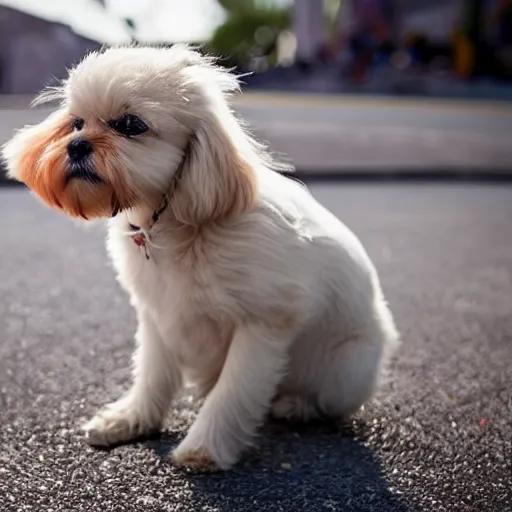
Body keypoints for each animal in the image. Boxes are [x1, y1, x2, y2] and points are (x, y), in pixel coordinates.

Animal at [1, 46, 400, 470]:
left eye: (130, 125)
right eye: (76, 123)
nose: (76, 145)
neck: (173, 227)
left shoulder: (264, 324)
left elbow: (234, 391)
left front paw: (204, 447)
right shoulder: (158, 316)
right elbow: (152, 376)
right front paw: (131, 420)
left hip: (347, 369)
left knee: (324, 401)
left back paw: (296, 405)